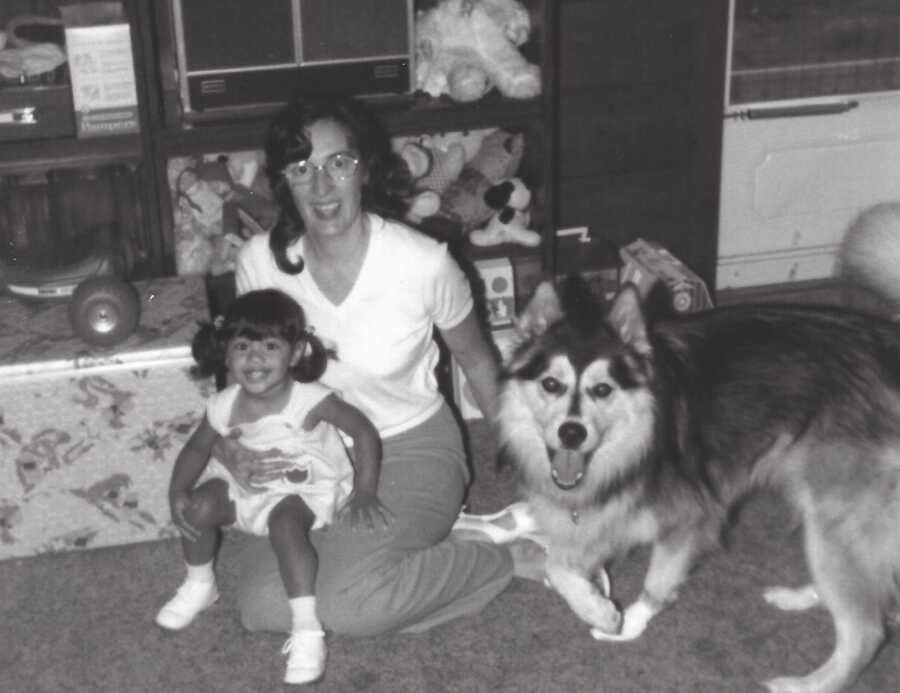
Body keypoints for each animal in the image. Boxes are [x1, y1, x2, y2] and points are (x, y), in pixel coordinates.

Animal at [492, 276, 900, 692]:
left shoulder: (691, 516)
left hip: (838, 518)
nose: (572, 433)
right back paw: (800, 597)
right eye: (551, 384)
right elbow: (557, 566)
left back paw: (805, 684)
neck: (640, 437)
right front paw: (596, 607)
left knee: (866, 631)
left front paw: (622, 624)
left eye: (603, 389)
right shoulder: (598, 516)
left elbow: (656, 582)